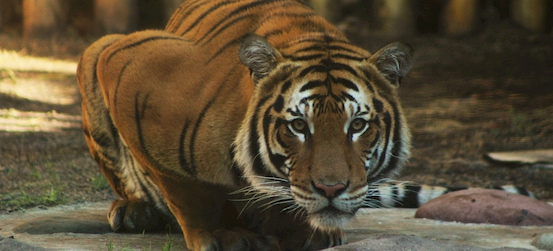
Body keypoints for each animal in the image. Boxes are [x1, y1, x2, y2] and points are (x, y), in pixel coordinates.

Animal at [74, 0, 528, 251]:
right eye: (297, 126)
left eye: (357, 125)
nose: (331, 189)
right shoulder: (126, 64)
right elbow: (183, 187)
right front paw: (217, 234)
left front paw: (309, 232)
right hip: (95, 53)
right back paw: (135, 211)